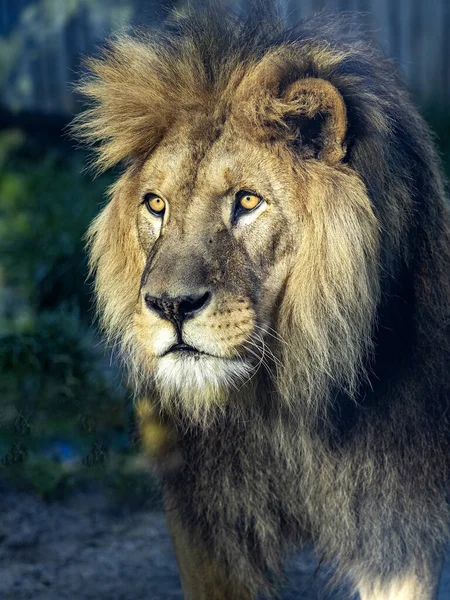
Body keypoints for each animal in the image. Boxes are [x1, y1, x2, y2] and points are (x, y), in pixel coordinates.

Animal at [73, 2, 450, 596]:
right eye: (155, 204)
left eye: (248, 201)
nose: (170, 306)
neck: (284, 403)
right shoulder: (205, 521)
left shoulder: (397, 522)